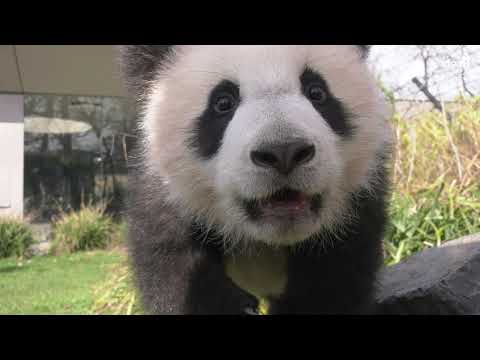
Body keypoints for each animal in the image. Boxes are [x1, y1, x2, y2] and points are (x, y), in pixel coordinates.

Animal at [118, 45, 392, 316]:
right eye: (223, 102)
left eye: (316, 91)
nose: (284, 152)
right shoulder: (167, 199)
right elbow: (175, 267)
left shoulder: (355, 211)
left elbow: (333, 283)